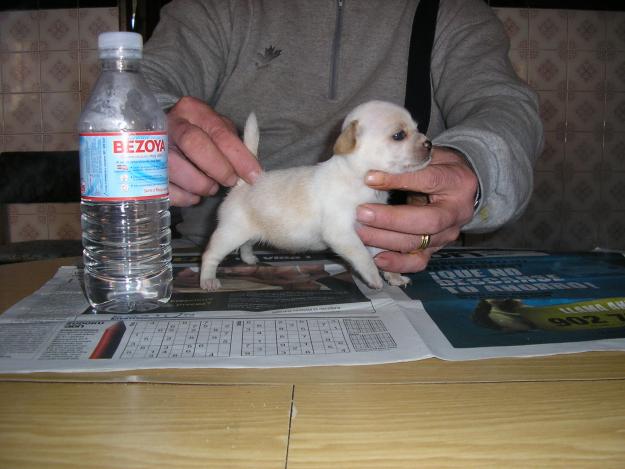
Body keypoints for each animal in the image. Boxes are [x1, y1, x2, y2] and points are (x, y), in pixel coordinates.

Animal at [200, 99, 428, 288]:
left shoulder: (369, 229)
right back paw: (208, 280)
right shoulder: (342, 233)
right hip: (230, 232)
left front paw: (394, 276)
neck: (357, 177)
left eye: (418, 129)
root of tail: (244, 183)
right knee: (210, 254)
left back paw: (249, 259)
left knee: (246, 244)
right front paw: (373, 278)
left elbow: (381, 252)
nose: (429, 143)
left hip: (249, 231)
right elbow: (363, 256)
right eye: (399, 135)